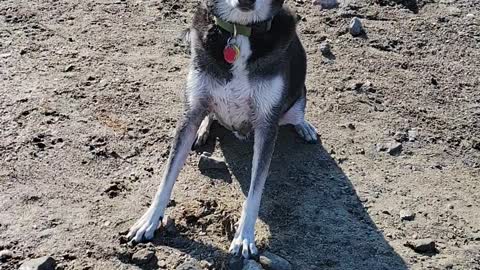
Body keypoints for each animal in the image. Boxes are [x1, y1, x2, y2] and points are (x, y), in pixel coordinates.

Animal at [126, 0, 318, 260]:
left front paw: (244, 237)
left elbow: (255, 192)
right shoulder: (190, 112)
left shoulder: (267, 124)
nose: (246, 1)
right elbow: (166, 177)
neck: (240, 31)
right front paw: (149, 220)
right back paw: (203, 130)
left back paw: (305, 127)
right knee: (211, 113)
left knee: (297, 112)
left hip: (296, 102)